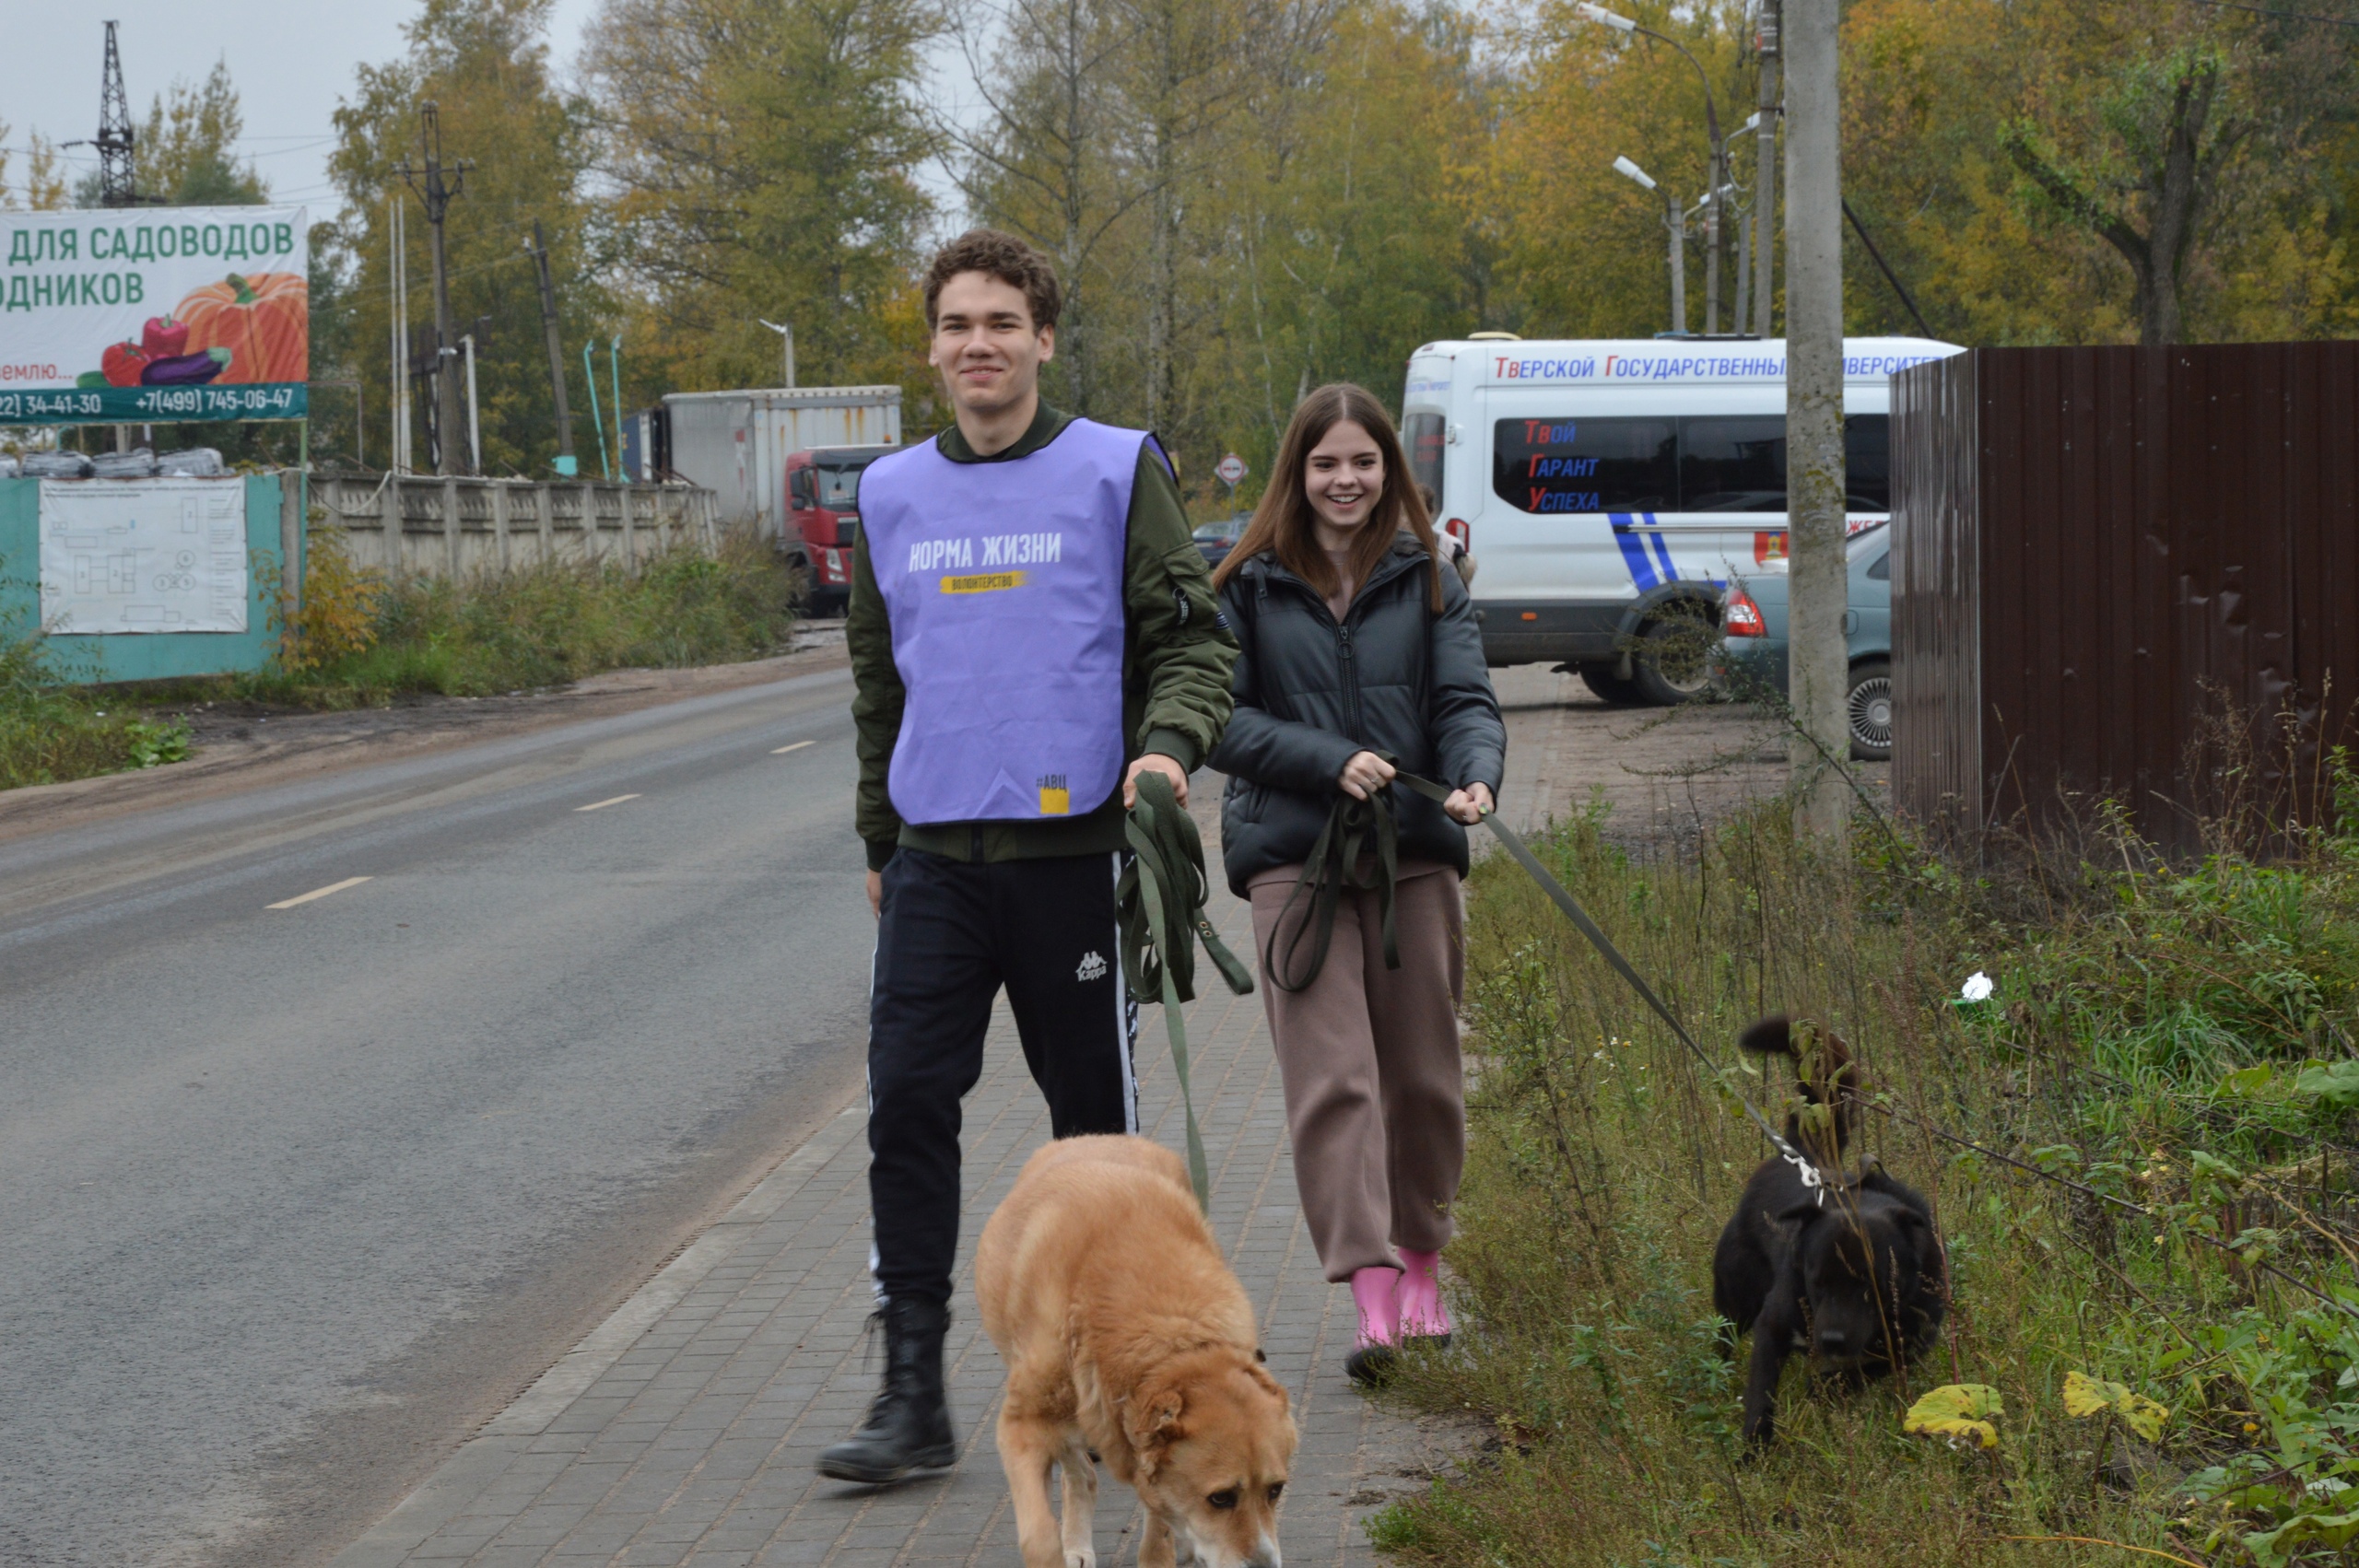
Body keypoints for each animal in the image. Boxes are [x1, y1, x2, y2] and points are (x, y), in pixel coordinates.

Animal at [980, 1136, 1311, 1565]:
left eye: (1276, 1490)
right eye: (1220, 1498)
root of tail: (1098, 1136)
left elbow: (1160, 1520)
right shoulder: (1019, 1430)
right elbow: (1038, 1536)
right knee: (1079, 1472)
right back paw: (1077, 1543)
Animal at [1717, 1013, 1953, 1443]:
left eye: (1873, 1284)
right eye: (1817, 1281)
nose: (1831, 1341)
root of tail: (1799, 1151)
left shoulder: (1911, 1342)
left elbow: (1861, 1371)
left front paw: (1825, 1388)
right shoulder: (1772, 1324)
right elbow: (1761, 1394)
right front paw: (1754, 1446)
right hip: (1735, 1299)